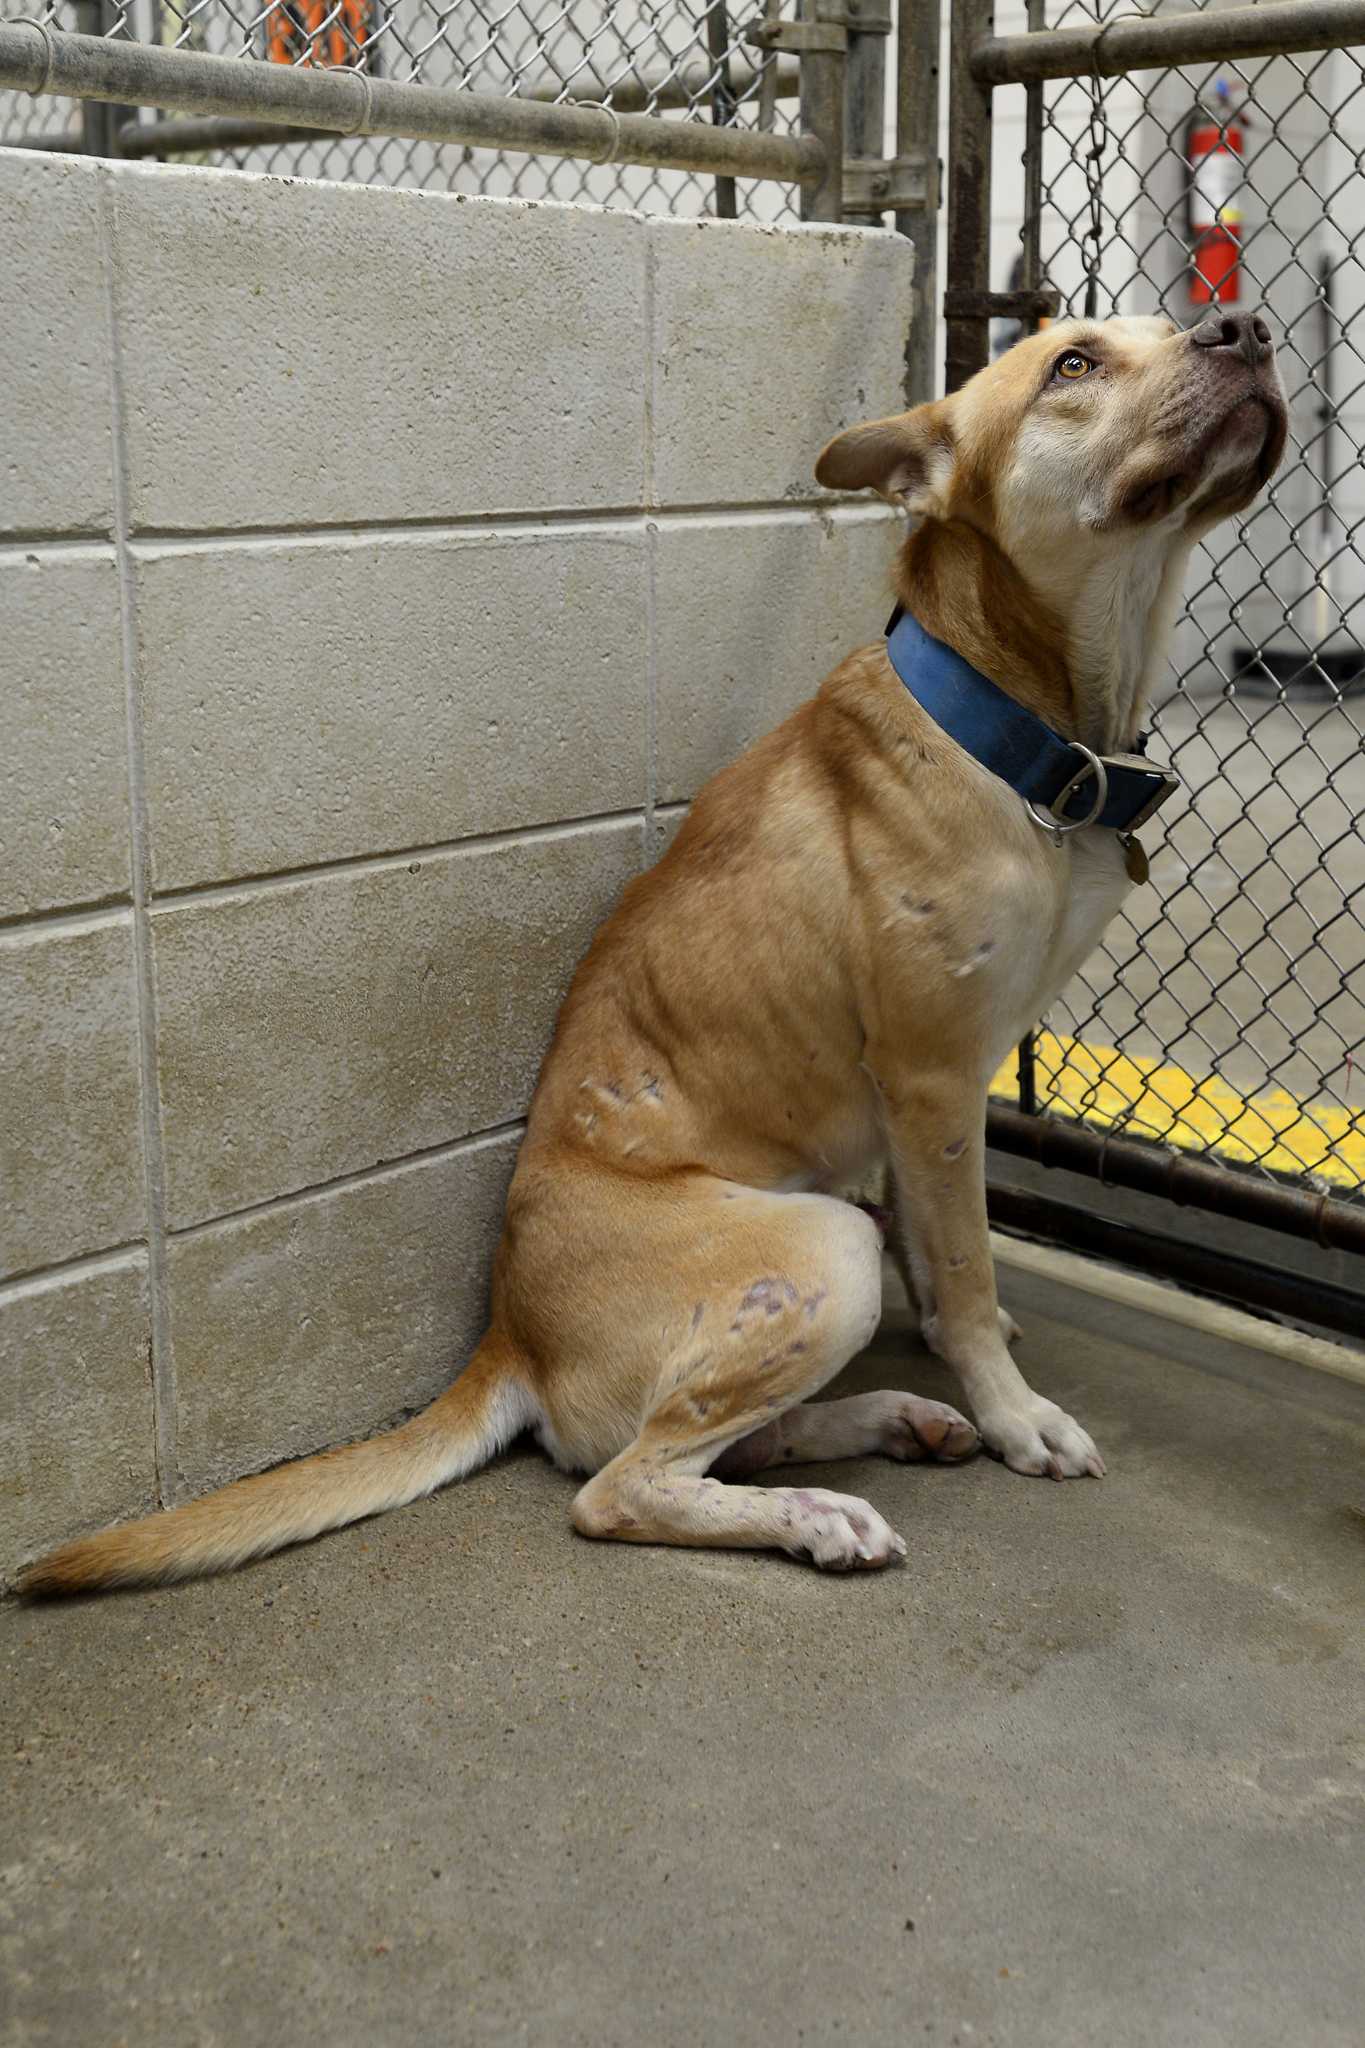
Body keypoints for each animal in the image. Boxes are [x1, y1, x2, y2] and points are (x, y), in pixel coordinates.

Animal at [15, 307, 1285, 1597]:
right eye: (1073, 363)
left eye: (1167, 326)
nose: (1246, 328)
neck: (1011, 721)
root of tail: (510, 1335)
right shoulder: (931, 1078)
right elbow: (970, 1269)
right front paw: (1017, 1409)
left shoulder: (930, 1101)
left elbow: (944, 1256)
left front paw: (958, 1362)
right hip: (820, 1246)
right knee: (620, 1486)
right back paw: (826, 1510)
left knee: (710, 1440)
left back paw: (887, 1422)